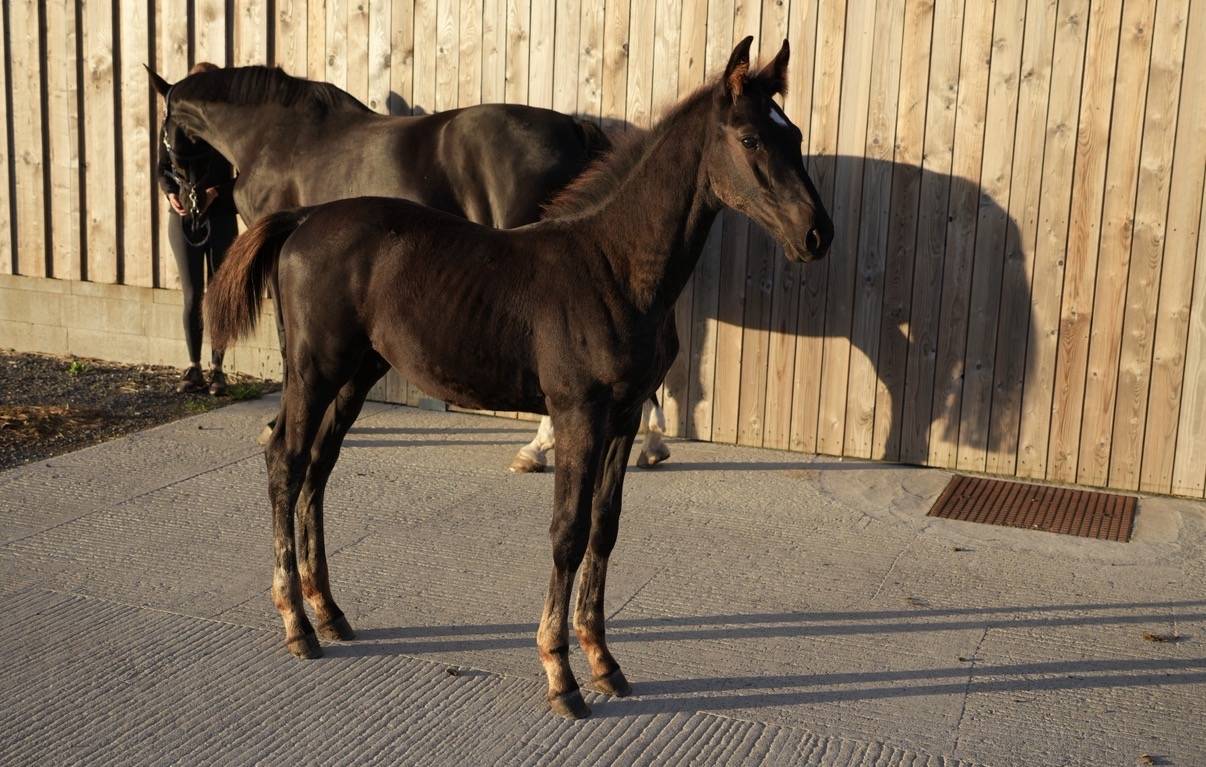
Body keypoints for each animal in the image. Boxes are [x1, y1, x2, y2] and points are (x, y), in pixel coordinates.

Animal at [148, 64, 671, 472]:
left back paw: (538, 447)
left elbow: (283, 344)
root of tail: (575, 128)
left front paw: (278, 420)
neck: (277, 136)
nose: (182, 199)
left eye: (163, 127)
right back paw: (653, 443)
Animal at [205, 37, 832, 719]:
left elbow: (605, 527)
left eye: (795, 134)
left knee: (317, 468)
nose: (817, 234)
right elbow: (567, 532)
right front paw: (561, 674)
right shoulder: (578, 412)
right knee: (286, 462)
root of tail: (303, 217)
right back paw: (296, 622)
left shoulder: (624, 414)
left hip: (355, 375)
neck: (613, 264)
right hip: (314, 371)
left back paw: (330, 612)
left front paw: (605, 662)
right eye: (749, 138)